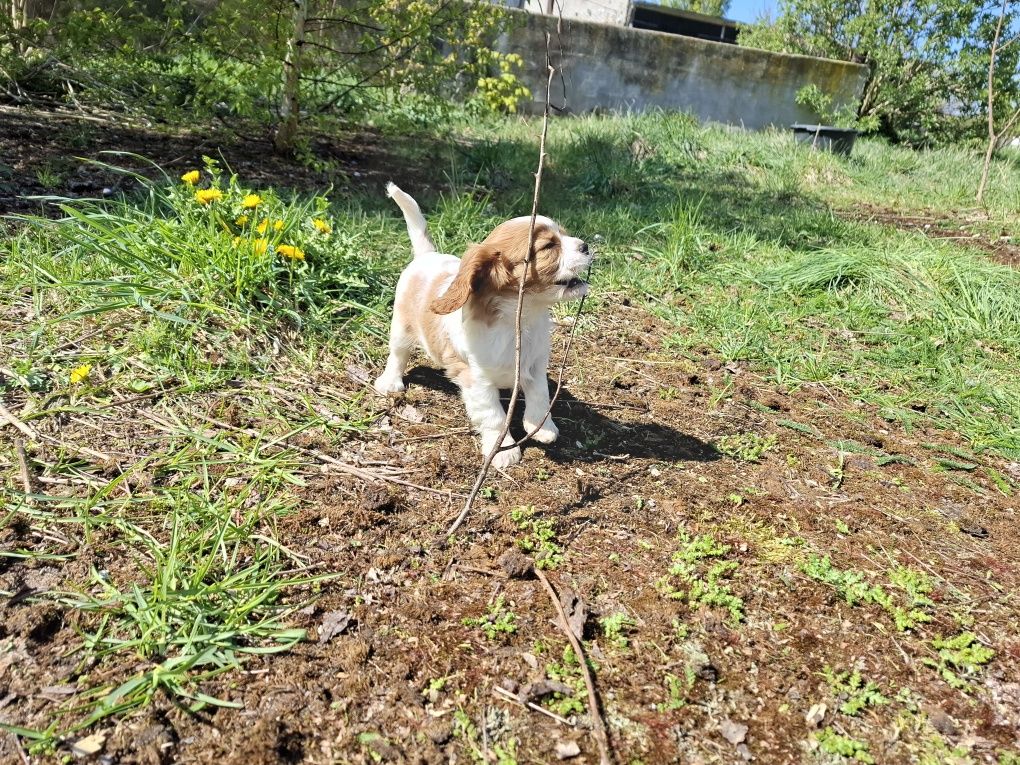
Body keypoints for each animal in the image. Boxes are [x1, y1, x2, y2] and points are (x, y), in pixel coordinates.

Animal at [377, 186, 595, 471]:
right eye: (549, 246)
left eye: (564, 234)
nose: (586, 246)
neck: (519, 319)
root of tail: (427, 255)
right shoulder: (476, 379)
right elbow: (494, 416)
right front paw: (502, 450)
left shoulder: (535, 365)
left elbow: (540, 395)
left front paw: (542, 428)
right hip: (401, 328)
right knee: (398, 355)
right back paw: (390, 382)